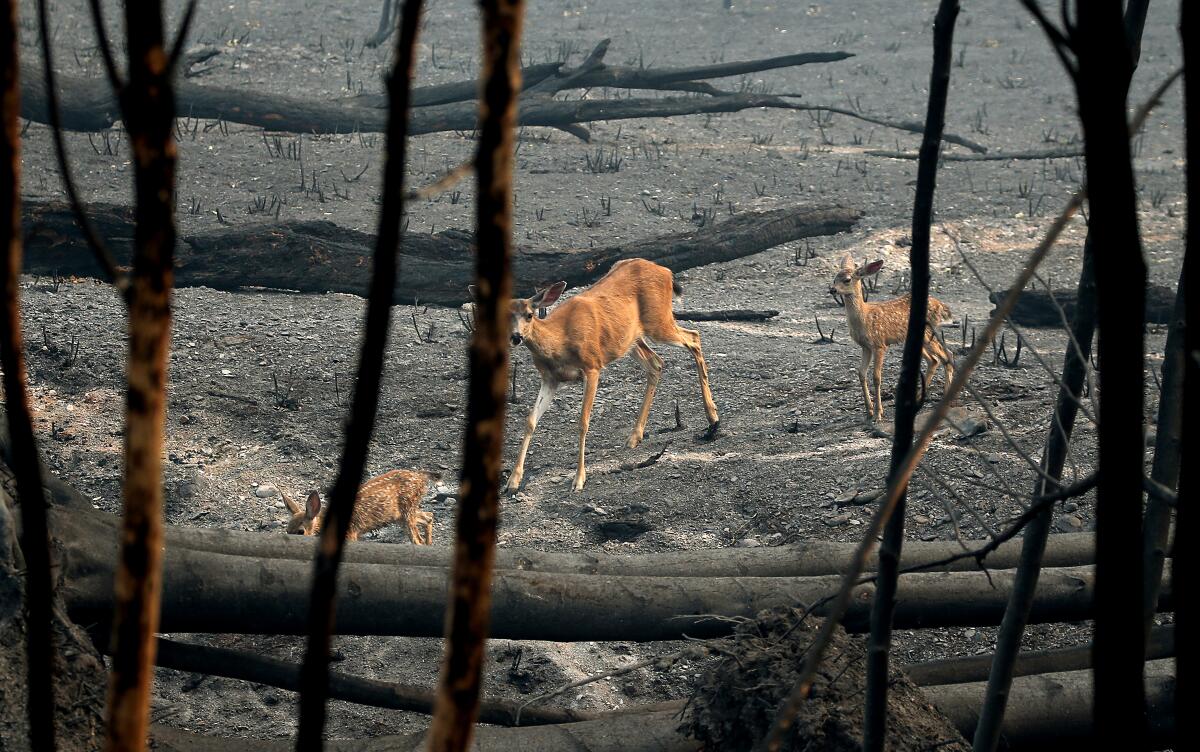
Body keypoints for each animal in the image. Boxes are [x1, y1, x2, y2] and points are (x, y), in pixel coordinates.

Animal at [475, 259, 720, 494]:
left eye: (529, 315)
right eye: (503, 316)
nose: (516, 337)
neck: (559, 342)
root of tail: (666, 272)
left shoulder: (592, 366)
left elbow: (583, 422)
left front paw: (578, 479)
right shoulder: (550, 379)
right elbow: (530, 421)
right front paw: (513, 482)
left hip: (658, 321)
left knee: (694, 337)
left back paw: (712, 418)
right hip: (629, 340)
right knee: (656, 363)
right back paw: (635, 435)